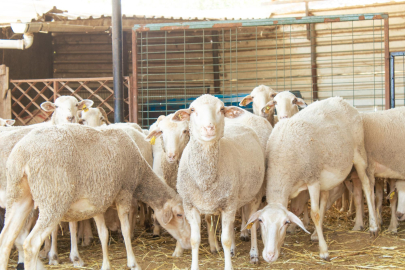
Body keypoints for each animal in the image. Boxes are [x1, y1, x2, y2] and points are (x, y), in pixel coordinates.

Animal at [0, 124, 191, 270]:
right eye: (179, 214)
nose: (188, 243)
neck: (140, 174)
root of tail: (22, 156)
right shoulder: (124, 193)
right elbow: (125, 230)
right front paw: (133, 263)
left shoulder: (99, 202)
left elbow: (103, 234)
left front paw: (105, 265)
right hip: (53, 199)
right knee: (30, 244)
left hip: (19, 197)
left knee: (6, 240)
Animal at [171, 94, 264, 268]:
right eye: (192, 110)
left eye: (221, 109)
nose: (209, 128)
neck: (205, 179)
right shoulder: (190, 206)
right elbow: (195, 240)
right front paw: (194, 266)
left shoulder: (228, 205)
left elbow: (225, 240)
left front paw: (228, 266)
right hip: (235, 197)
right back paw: (235, 249)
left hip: (255, 194)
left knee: (253, 223)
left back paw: (254, 253)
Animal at [243, 97, 378, 264]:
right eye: (261, 221)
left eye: (285, 223)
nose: (269, 255)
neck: (282, 161)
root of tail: (341, 100)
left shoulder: (312, 180)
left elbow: (315, 213)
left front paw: (324, 251)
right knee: (326, 198)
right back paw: (315, 234)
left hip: (359, 153)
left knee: (366, 186)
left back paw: (373, 227)